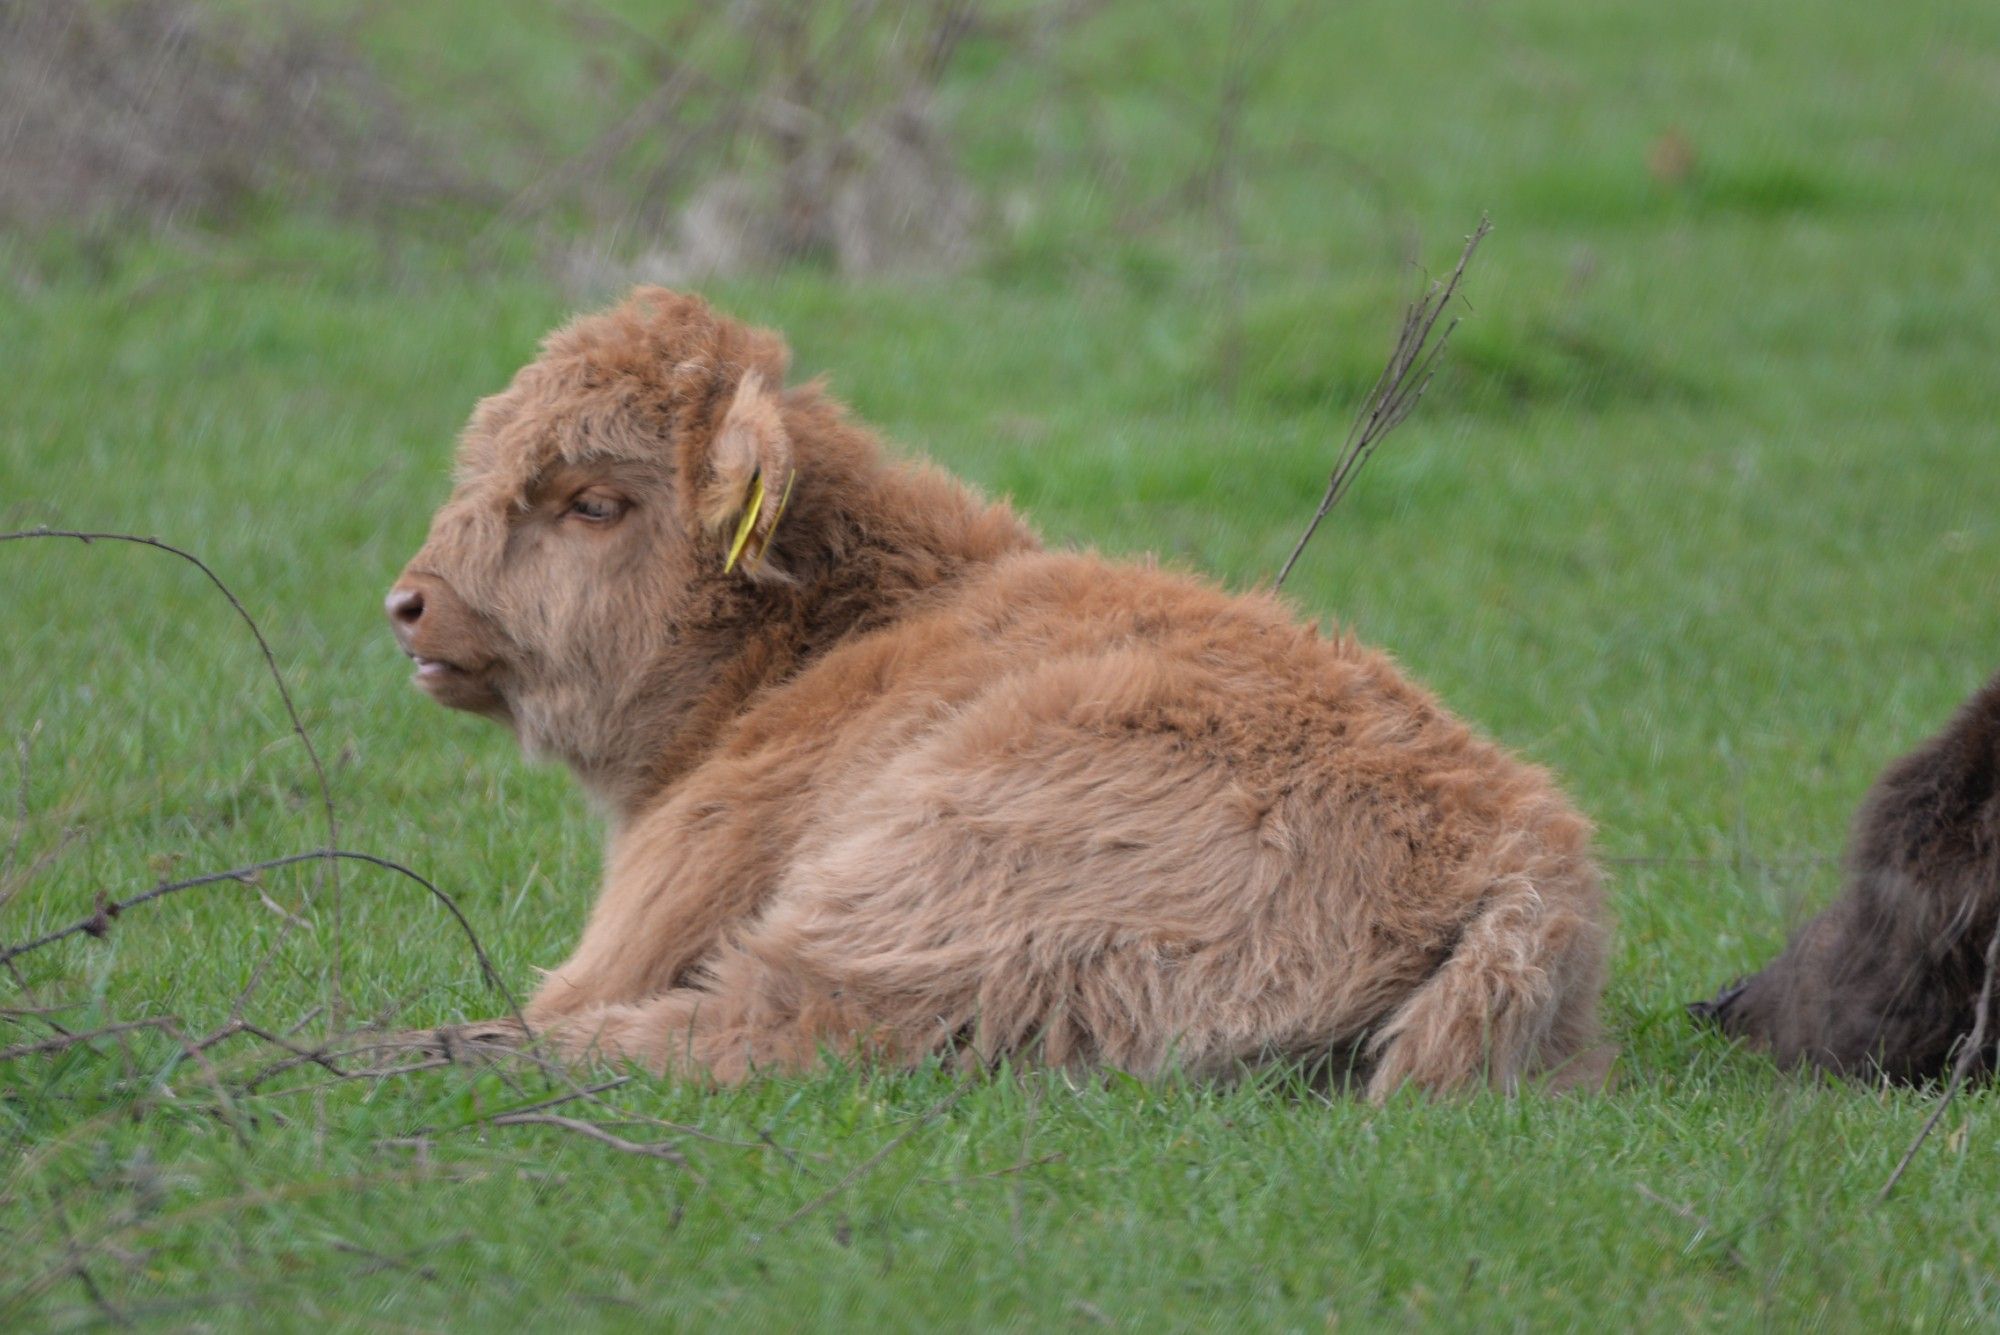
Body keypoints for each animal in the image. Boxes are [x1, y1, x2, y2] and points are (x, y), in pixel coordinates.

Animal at [386, 289, 1608, 1095]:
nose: (411, 603)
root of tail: (1517, 856)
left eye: (593, 501)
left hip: (907, 883)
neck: (835, 627)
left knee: (766, 1021)